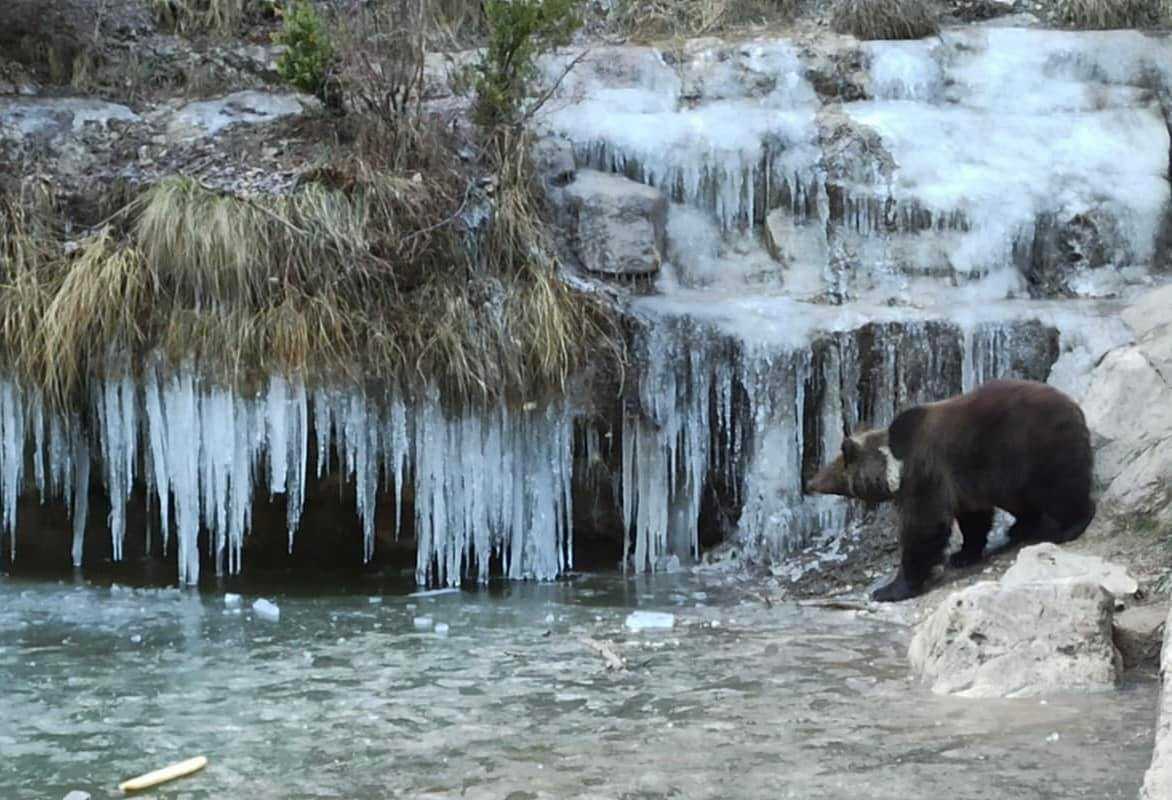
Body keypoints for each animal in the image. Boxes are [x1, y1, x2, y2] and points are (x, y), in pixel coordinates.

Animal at [811, 379, 1092, 599]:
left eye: (839, 466)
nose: (811, 481)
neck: (894, 465)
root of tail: (1075, 406)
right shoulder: (964, 482)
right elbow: (973, 519)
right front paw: (963, 554)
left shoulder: (925, 474)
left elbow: (923, 528)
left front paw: (890, 589)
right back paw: (1019, 528)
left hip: (1035, 449)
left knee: (1061, 489)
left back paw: (1068, 526)